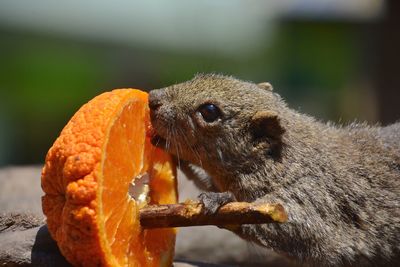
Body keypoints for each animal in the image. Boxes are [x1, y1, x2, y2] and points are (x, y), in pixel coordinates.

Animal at [148, 74, 400, 267]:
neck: (282, 161)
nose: (152, 98)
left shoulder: (315, 198)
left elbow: (304, 233)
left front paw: (222, 202)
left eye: (209, 111)